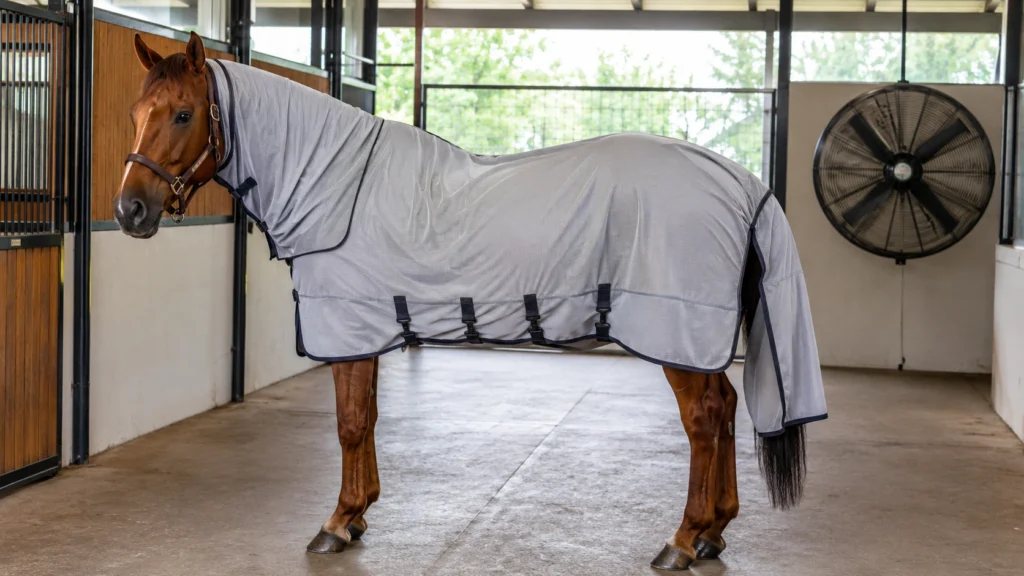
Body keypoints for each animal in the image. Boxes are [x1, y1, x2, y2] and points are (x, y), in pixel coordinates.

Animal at [114, 31, 827, 571]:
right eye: (136, 115)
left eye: (183, 114)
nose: (130, 211)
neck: (339, 184)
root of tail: (742, 183)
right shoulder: (370, 330)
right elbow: (368, 419)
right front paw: (360, 514)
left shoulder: (347, 326)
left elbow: (349, 423)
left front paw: (337, 523)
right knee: (726, 407)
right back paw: (713, 534)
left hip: (676, 332)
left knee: (705, 420)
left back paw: (682, 539)